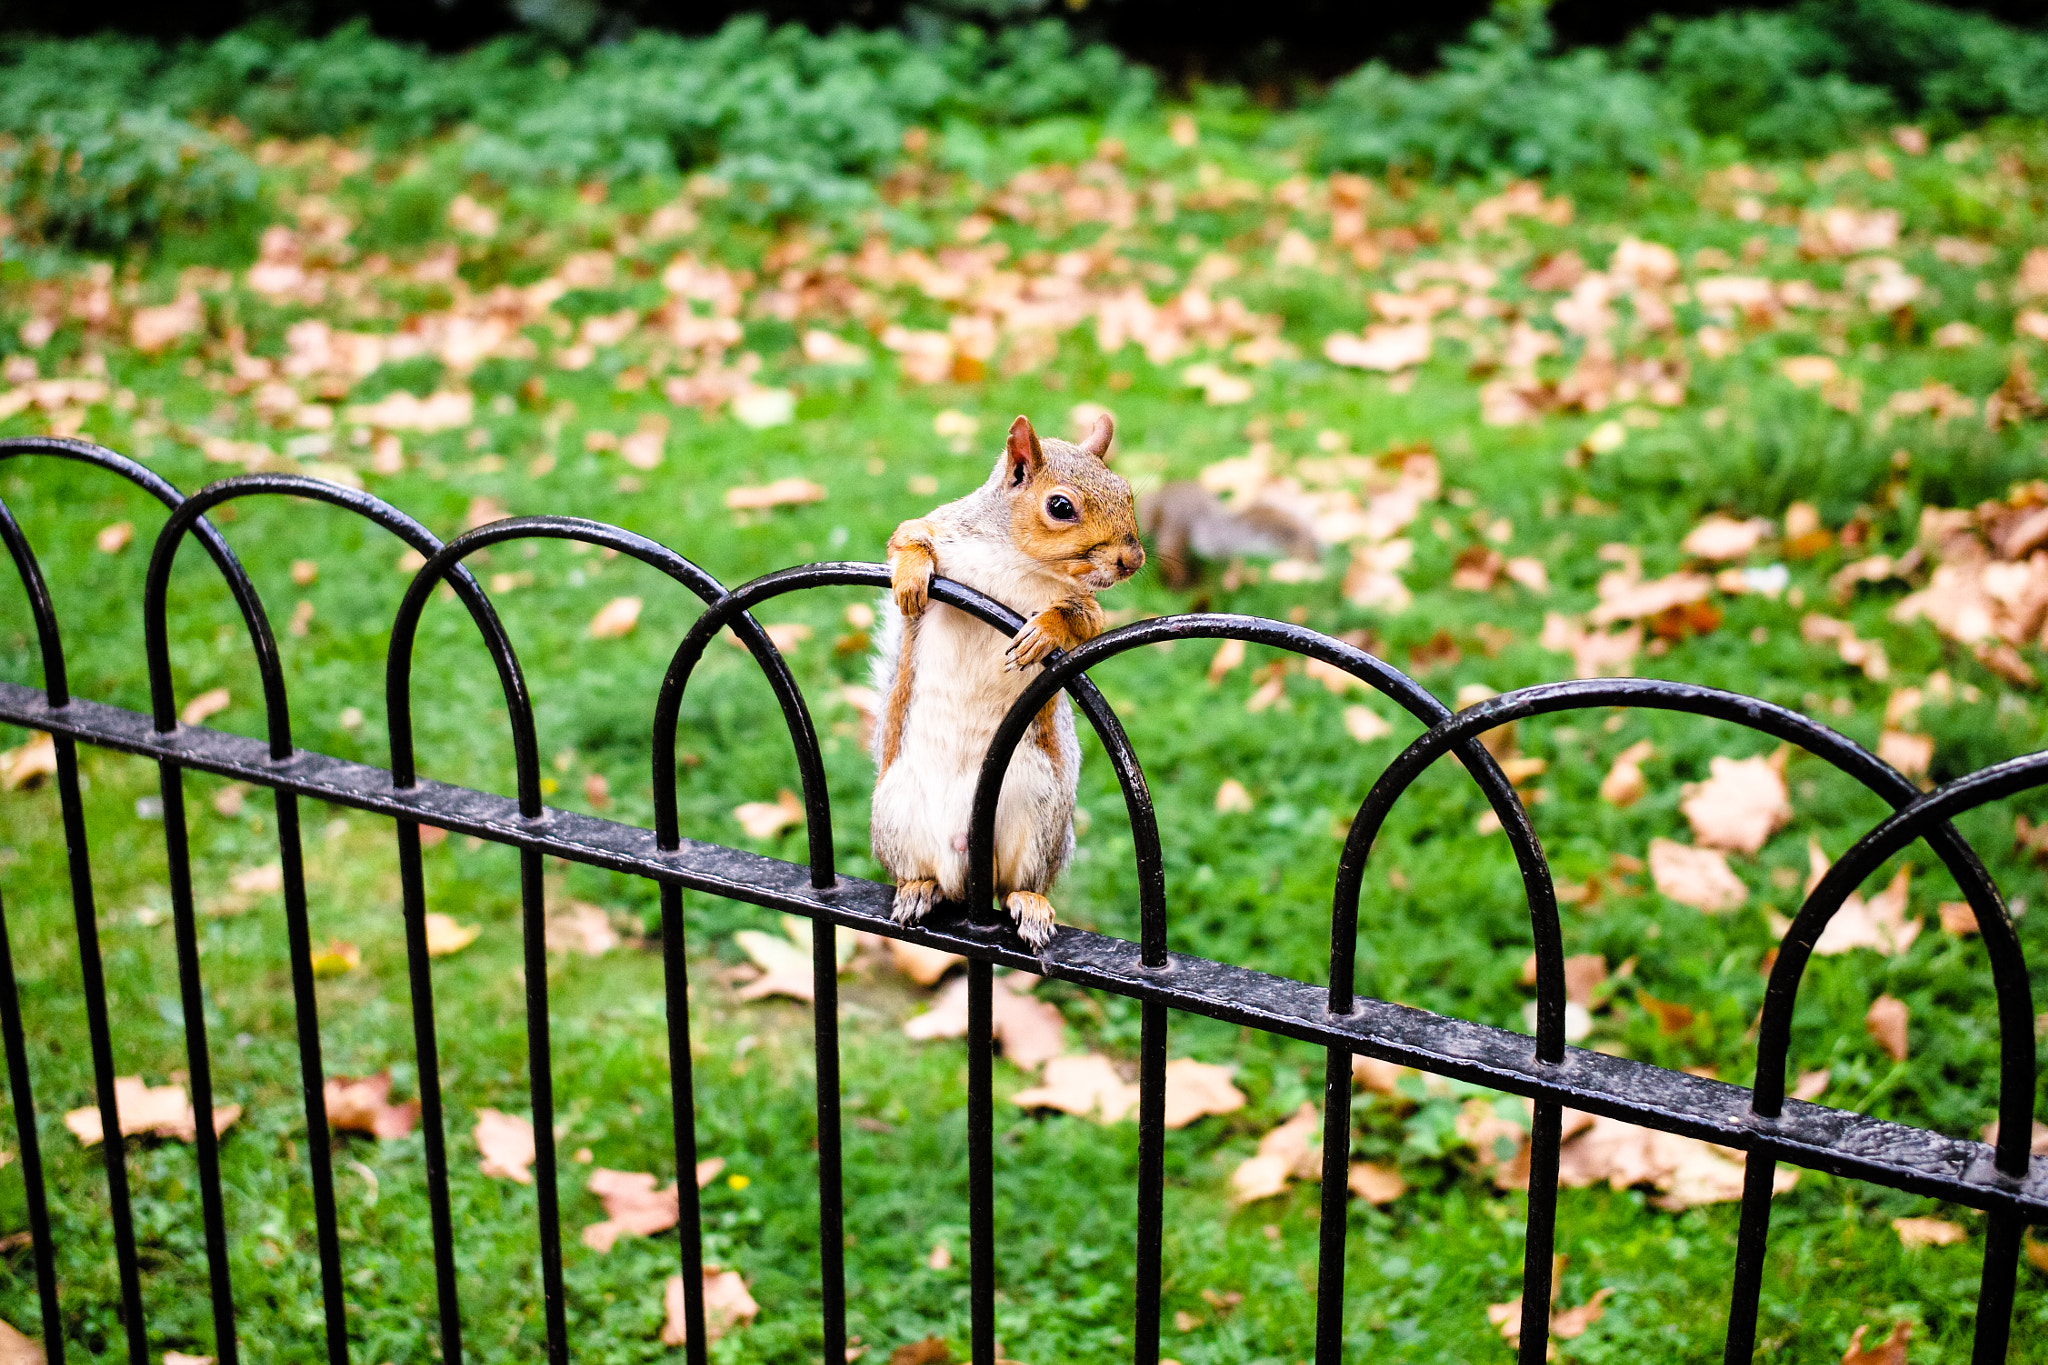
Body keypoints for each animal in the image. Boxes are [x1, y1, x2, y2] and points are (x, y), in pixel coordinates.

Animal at [868, 417, 1146, 949]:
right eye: (1060, 507)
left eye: (1126, 491)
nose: (1133, 561)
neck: (1018, 559)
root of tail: (964, 864)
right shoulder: (942, 528)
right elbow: (907, 537)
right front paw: (910, 577)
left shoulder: (1086, 604)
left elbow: (1082, 619)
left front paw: (1044, 632)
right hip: (895, 811)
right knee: (922, 873)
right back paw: (918, 887)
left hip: (1039, 814)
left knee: (1018, 884)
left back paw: (1029, 903)